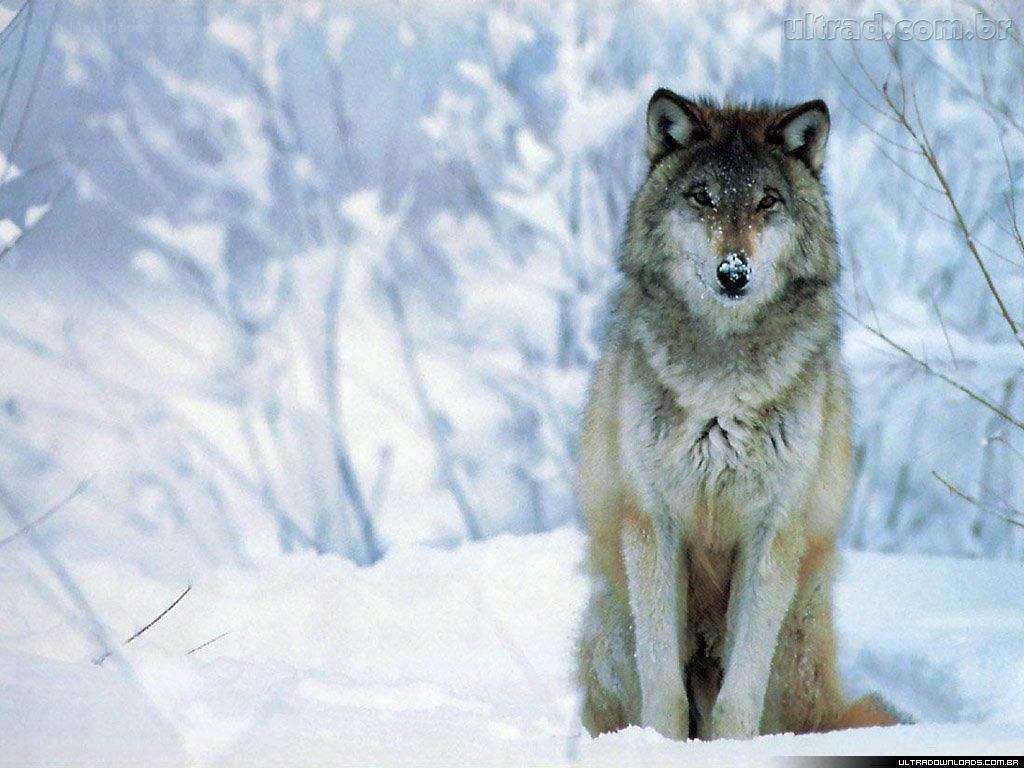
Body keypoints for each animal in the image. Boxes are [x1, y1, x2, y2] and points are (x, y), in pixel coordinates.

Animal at [575, 89, 900, 740]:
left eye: (766, 201)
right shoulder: (653, 522)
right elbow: (664, 692)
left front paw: (731, 748)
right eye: (703, 197)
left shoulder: (771, 530)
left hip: (795, 636)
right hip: (615, 617)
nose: (733, 272)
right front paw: (658, 747)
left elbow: (739, 698)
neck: (722, 387)